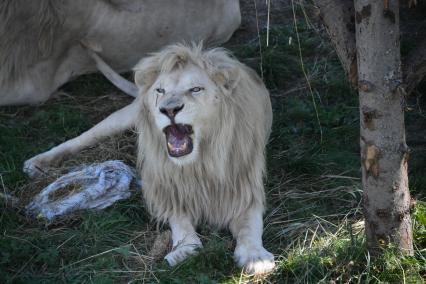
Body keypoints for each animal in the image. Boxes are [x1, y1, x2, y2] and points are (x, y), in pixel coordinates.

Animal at [24, 45, 276, 276]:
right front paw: (185, 249)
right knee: (84, 137)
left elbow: (250, 227)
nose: (169, 109)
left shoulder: (245, 189)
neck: (198, 163)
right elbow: (180, 222)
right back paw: (37, 162)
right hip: (122, 118)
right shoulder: (169, 187)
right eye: (161, 91)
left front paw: (256, 258)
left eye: (196, 89)